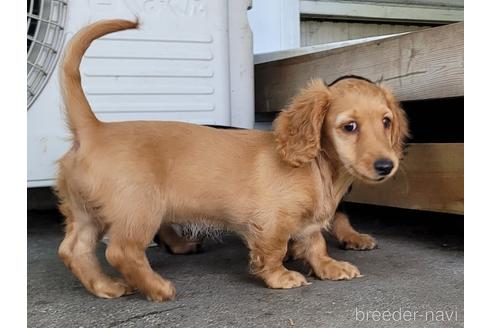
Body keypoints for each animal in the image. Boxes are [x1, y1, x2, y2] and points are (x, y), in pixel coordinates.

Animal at [55, 19, 410, 302]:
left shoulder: (307, 222)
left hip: (86, 213)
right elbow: (275, 249)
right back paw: (157, 287)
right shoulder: (272, 220)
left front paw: (328, 267)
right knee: (121, 250)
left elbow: (315, 243)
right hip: (139, 209)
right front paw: (280, 277)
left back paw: (105, 286)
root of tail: (94, 129)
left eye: (386, 121)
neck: (319, 168)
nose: (386, 165)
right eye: (349, 126)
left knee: (74, 250)